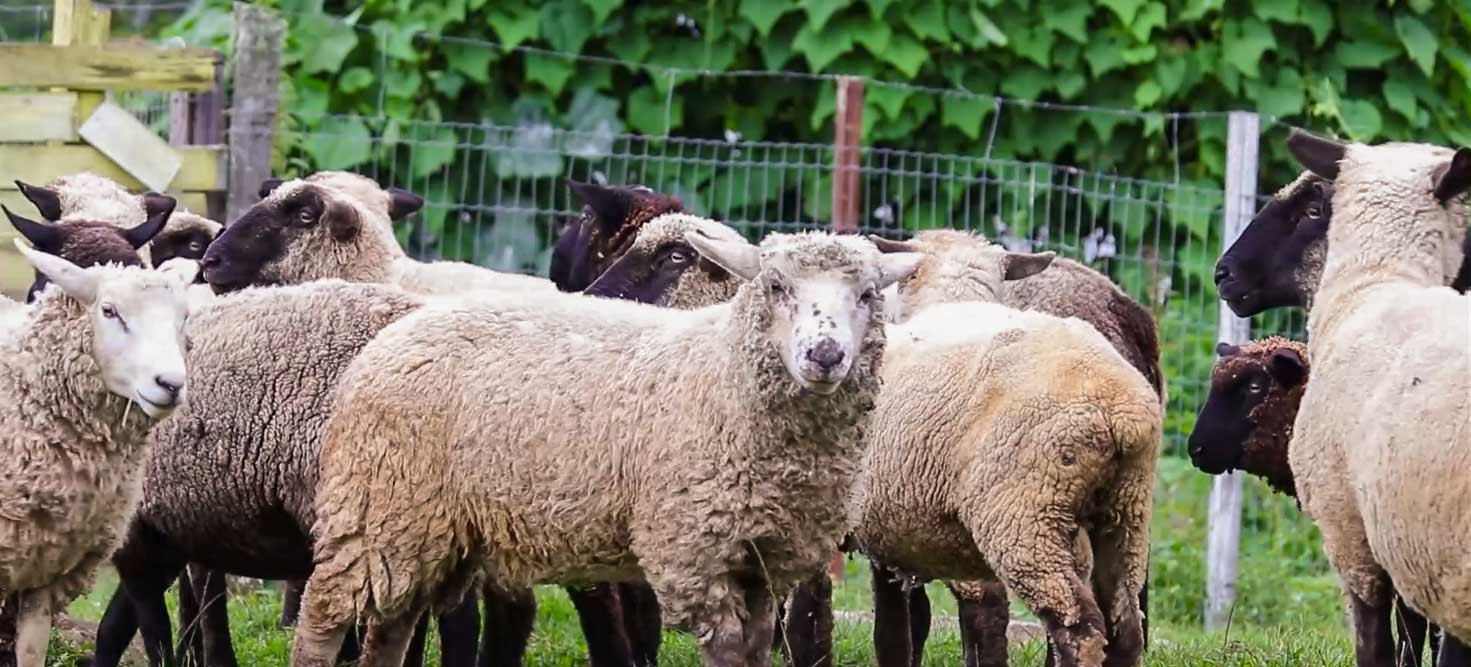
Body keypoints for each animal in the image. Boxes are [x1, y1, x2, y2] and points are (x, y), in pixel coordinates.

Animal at [288, 229, 920, 667]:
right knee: (324, 614)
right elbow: (728, 649)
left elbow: (758, 646)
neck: (721, 374)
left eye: (868, 294)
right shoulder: (693, 549)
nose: (826, 355)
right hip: (379, 504)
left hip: (428, 526)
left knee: (389, 627)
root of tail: (393, 335)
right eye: (776, 287)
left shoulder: (764, 556)